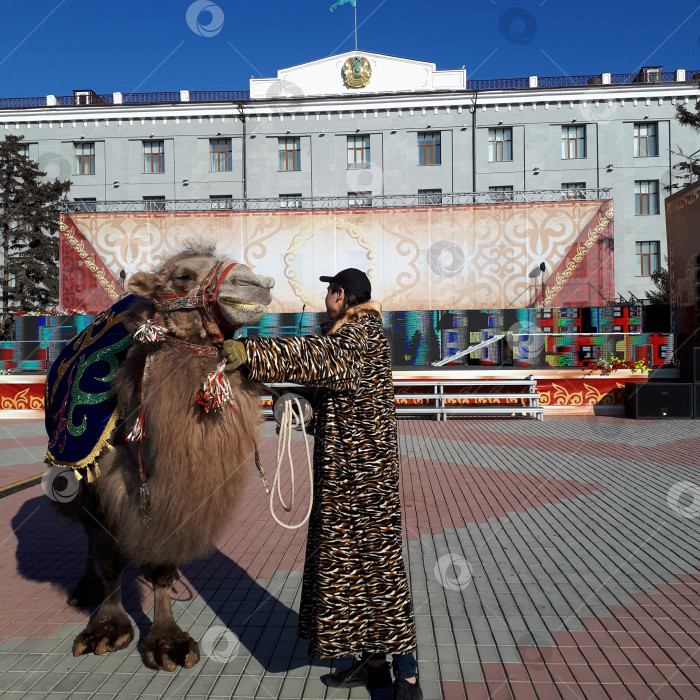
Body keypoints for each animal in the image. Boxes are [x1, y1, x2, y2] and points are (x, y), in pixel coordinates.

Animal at [43, 245, 274, 668]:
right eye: (182, 276)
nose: (256, 283)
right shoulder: (103, 477)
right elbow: (109, 555)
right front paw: (106, 628)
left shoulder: (171, 495)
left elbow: (162, 560)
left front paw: (168, 642)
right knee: (87, 533)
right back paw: (84, 588)